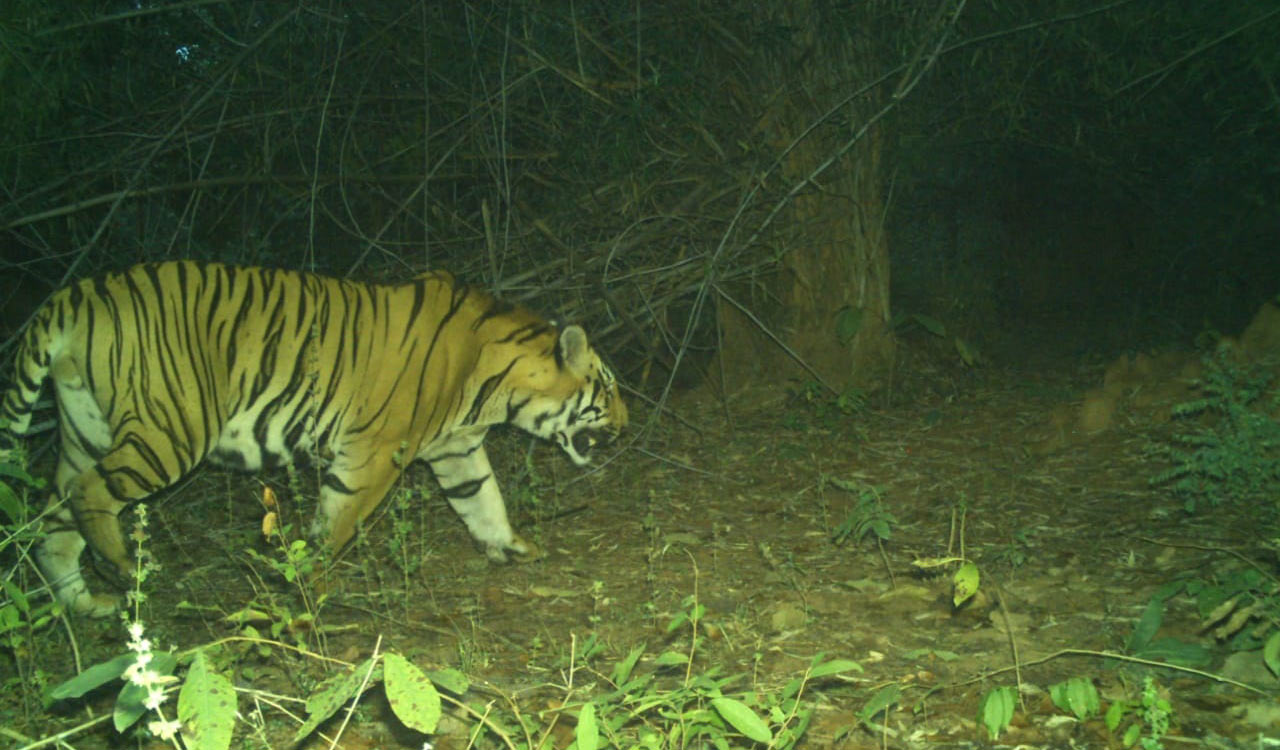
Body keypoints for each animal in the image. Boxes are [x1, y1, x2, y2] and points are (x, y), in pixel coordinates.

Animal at [1, 260, 627, 616]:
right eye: (609, 387)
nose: (626, 427)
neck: (498, 383)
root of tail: (71, 297)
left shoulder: (458, 449)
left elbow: (483, 500)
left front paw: (512, 546)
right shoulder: (377, 453)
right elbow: (338, 522)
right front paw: (312, 586)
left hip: (84, 429)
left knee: (54, 518)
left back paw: (87, 604)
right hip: (172, 428)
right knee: (90, 493)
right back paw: (125, 567)